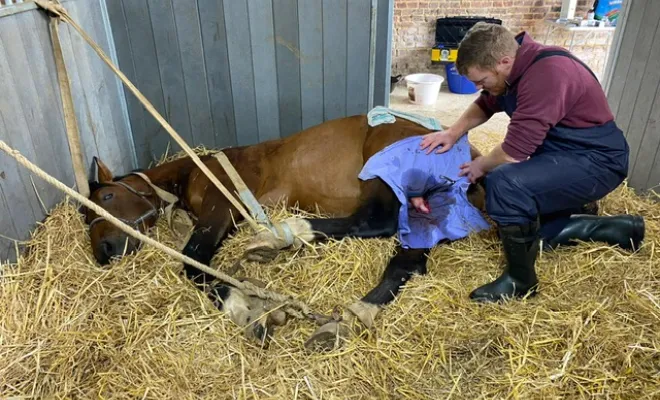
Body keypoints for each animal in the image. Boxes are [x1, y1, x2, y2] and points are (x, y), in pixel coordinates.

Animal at [80, 112, 640, 350]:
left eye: (103, 200)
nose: (104, 253)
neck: (201, 168)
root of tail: (470, 158)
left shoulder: (220, 211)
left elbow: (193, 262)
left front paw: (247, 307)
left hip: (382, 177)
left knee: (379, 225)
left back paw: (284, 239)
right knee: (408, 257)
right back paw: (346, 316)